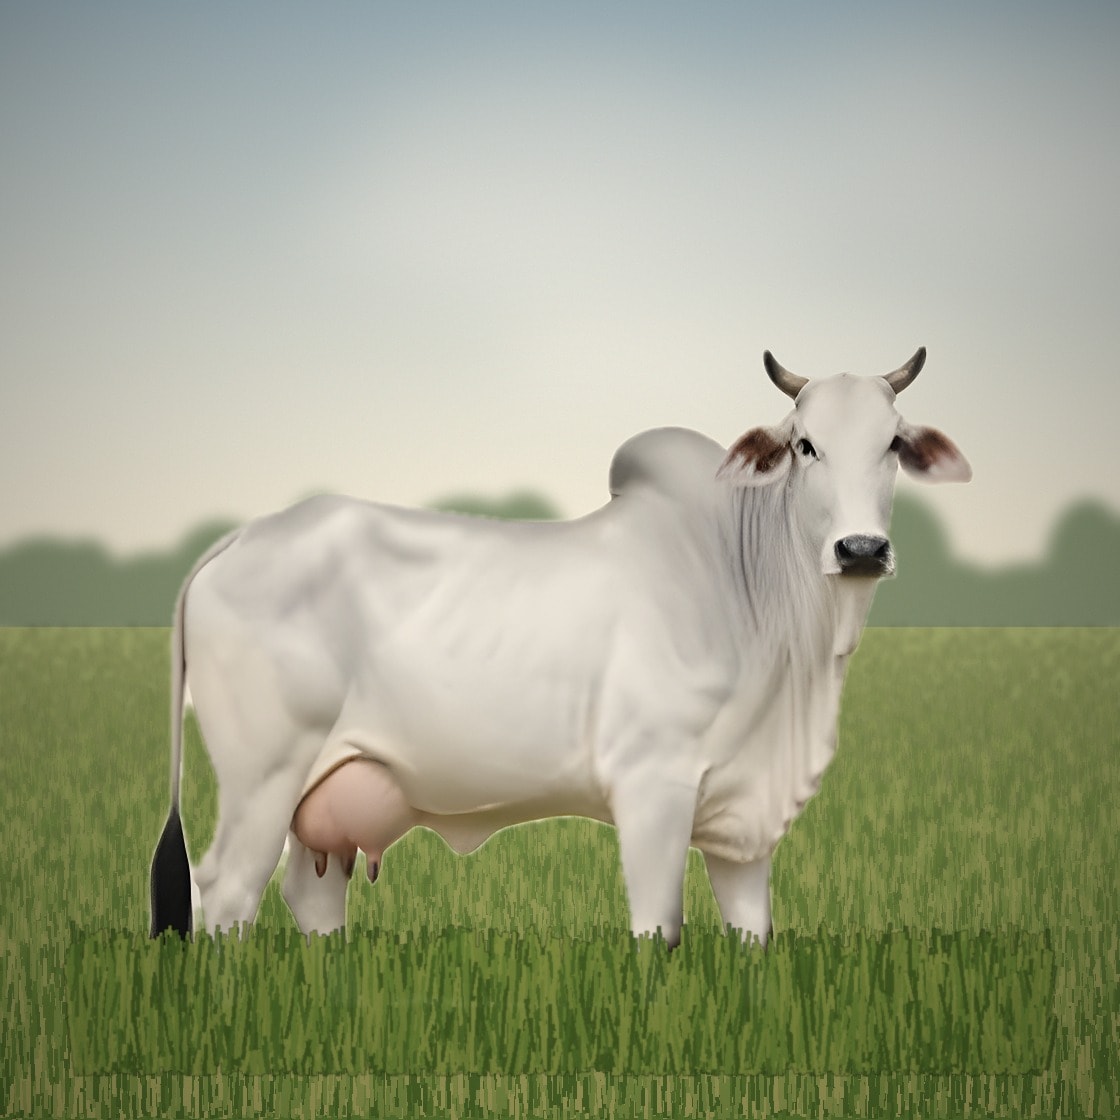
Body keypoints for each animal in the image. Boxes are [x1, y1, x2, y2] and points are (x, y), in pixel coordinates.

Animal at [150, 348, 971, 947]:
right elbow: (659, 932)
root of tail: (238, 539)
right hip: (261, 780)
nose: (861, 549)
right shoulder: (652, 788)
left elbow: (751, 935)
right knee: (222, 892)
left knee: (309, 895)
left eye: (893, 444)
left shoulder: (745, 828)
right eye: (805, 445)